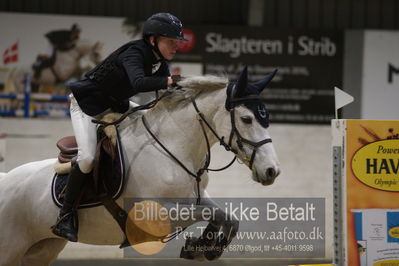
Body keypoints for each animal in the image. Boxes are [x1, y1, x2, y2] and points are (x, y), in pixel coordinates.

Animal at [0, 68, 282, 264]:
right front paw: (203, 245)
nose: (272, 171)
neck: (173, 148)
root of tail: (5, 180)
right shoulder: (152, 215)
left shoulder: (196, 198)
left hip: (42, 249)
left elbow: (227, 217)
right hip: (11, 248)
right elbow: (211, 215)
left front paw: (202, 248)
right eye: (246, 119)